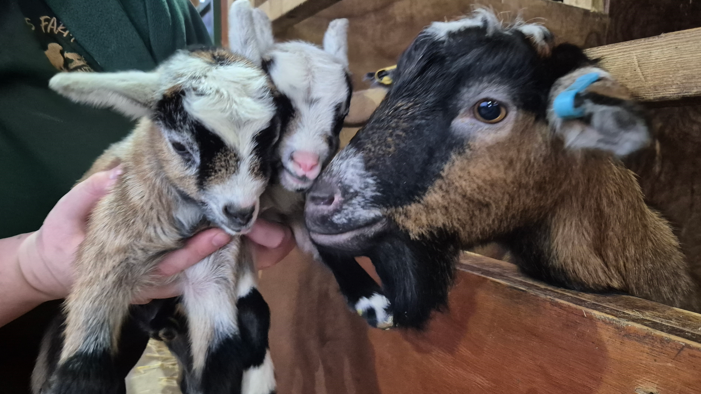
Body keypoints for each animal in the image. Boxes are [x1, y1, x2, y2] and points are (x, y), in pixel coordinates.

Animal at [32, 44, 278, 392]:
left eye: (270, 141)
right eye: (180, 146)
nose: (241, 212)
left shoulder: (211, 273)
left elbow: (224, 355)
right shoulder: (108, 249)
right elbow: (82, 371)